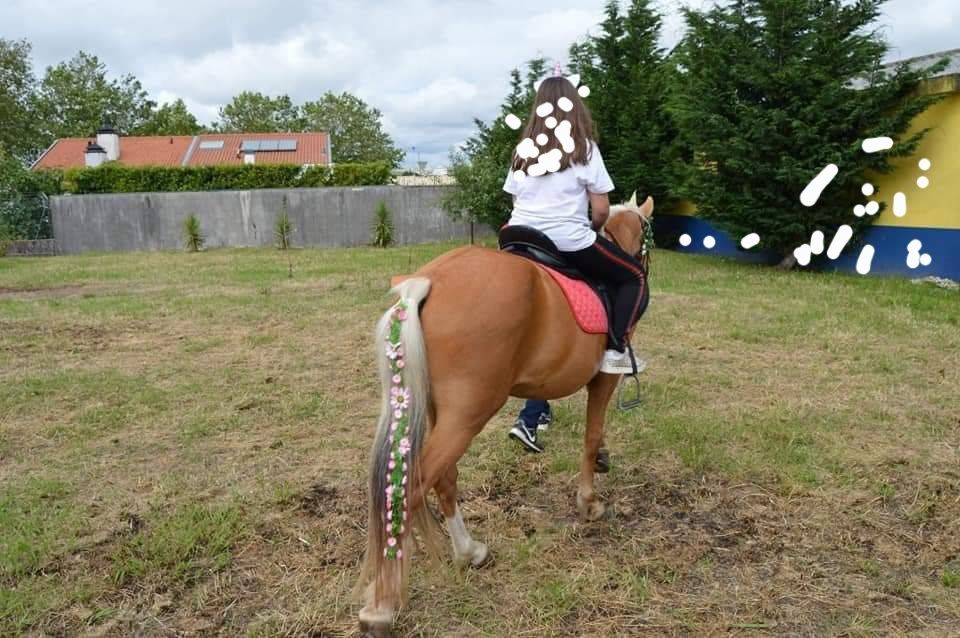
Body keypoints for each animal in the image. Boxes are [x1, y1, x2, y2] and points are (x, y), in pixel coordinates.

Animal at [356, 195, 654, 637]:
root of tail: (427, 281)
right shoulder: (604, 378)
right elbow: (590, 434)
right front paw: (590, 502)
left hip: (441, 411)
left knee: (443, 478)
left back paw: (469, 552)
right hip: (469, 412)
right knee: (412, 487)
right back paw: (383, 606)